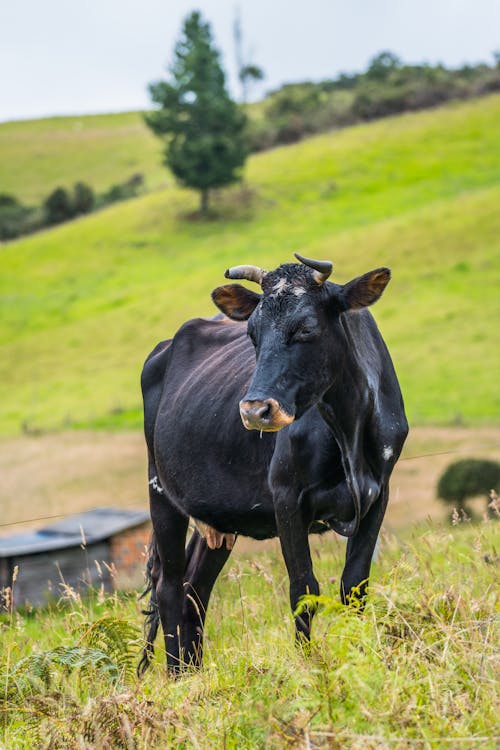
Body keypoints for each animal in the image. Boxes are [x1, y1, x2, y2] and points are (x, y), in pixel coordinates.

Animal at [139, 256, 408, 680]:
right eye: (252, 333)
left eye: (307, 327)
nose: (254, 410)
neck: (348, 425)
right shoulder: (286, 497)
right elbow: (304, 589)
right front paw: (310, 666)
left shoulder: (377, 492)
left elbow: (354, 585)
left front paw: (359, 658)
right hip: (161, 492)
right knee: (169, 584)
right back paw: (178, 676)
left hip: (217, 516)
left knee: (194, 589)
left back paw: (196, 673)